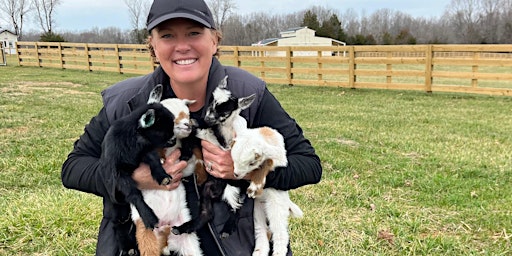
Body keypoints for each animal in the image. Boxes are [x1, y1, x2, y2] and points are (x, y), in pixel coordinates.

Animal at [99, 85, 176, 255]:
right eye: (162, 132)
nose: (174, 141)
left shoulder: (144, 151)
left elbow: (154, 160)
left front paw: (162, 176)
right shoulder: (119, 173)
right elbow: (134, 193)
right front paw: (149, 217)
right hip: (117, 208)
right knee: (119, 224)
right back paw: (128, 249)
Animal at [130, 97, 206, 256]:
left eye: (188, 115)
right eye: (172, 119)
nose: (189, 125)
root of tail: (166, 241)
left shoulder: (185, 166)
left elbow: (197, 156)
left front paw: (201, 176)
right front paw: (160, 161)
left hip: (186, 239)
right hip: (147, 235)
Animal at [172, 76, 256, 238]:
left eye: (225, 111)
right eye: (211, 102)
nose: (208, 118)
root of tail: (217, 192)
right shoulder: (199, 134)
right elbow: (189, 137)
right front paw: (184, 155)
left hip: (233, 188)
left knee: (235, 209)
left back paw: (226, 230)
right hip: (206, 189)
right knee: (207, 213)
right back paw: (180, 228)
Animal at [232, 126, 304, 256]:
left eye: (251, 163)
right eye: (233, 158)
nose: (236, 174)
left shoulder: (280, 158)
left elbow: (267, 162)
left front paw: (255, 186)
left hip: (276, 207)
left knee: (280, 232)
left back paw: (279, 252)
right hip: (257, 210)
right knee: (262, 231)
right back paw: (259, 251)